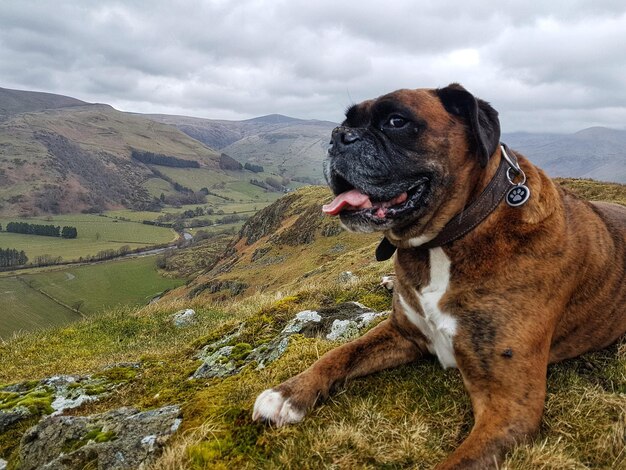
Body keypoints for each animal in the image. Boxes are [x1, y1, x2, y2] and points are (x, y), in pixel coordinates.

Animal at [251, 82, 620, 468]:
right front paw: (287, 394)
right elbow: (340, 353)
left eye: (396, 121)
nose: (338, 136)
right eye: (346, 121)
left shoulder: (509, 407)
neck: (443, 242)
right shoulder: (401, 333)